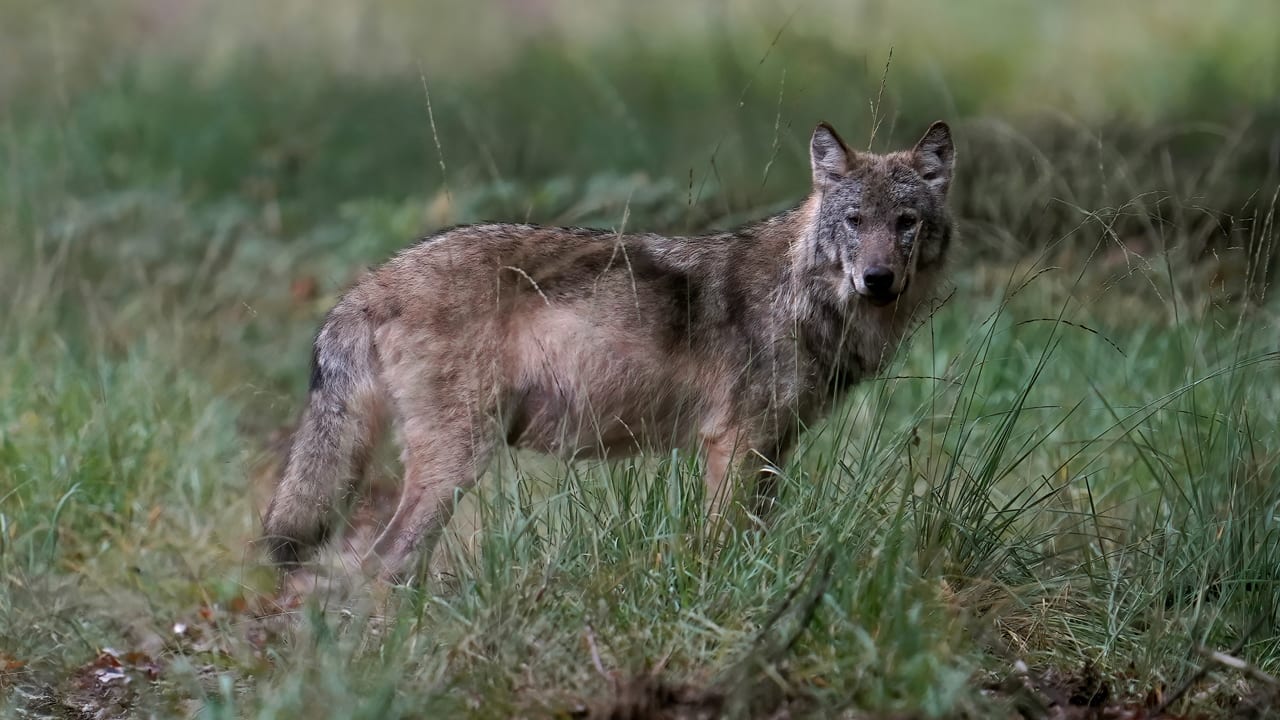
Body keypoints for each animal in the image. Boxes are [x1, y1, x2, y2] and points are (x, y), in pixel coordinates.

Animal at [264, 119, 957, 576]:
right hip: (457, 463)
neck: (803, 296)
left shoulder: (773, 450)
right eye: (854, 221)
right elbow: (720, 545)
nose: (878, 280)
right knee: (381, 564)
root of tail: (371, 281)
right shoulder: (733, 444)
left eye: (905, 223)